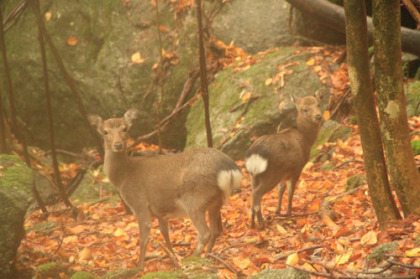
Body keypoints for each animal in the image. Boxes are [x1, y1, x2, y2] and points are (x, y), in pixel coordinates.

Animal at [88, 109, 243, 270]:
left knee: (205, 232)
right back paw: (206, 257)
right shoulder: (160, 212)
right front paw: (174, 259)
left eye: (125, 128)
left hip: (194, 199)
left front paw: (139, 268)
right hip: (216, 201)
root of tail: (229, 169)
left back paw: (191, 259)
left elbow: (144, 235)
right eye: (105, 131)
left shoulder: (138, 202)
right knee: (215, 231)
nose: (118, 144)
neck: (124, 177)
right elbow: (165, 234)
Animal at [244, 95, 324, 231]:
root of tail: (255, 156)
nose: (318, 116)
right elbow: (290, 191)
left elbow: (281, 189)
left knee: (253, 195)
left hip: (254, 175)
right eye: (304, 110)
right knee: (256, 194)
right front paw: (288, 212)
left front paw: (277, 211)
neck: (306, 140)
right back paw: (261, 224)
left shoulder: (284, 173)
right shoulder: (297, 168)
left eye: (318, 104)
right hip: (271, 174)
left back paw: (252, 223)